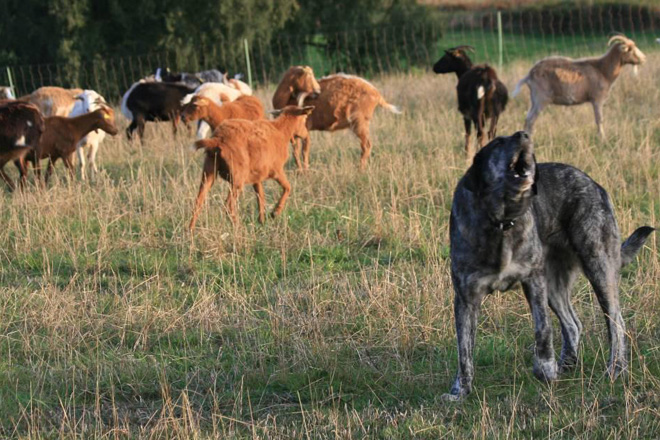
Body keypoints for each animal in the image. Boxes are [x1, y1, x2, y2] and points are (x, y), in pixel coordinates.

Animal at [270, 66, 400, 170]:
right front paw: (300, 172)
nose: (318, 91)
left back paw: (360, 170)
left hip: (359, 121)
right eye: (309, 76)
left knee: (366, 145)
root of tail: (377, 94)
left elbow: (304, 151)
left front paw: (306, 173)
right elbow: (295, 152)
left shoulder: (305, 129)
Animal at [446, 131, 652, 398]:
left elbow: (543, 330)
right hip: (555, 285)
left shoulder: (534, 282)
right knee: (573, 324)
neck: (502, 222)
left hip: (598, 268)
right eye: (498, 142)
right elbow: (464, 349)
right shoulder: (466, 298)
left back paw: (615, 368)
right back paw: (567, 364)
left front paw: (544, 368)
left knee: (616, 322)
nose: (523, 134)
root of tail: (593, 183)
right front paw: (460, 390)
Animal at [512, 35, 648, 136]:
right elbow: (599, 119)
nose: (644, 59)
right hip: (541, 99)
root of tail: (530, 75)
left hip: (534, 100)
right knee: (531, 120)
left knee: (527, 118)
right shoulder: (597, 99)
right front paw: (602, 138)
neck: (602, 70)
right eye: (630, 49)